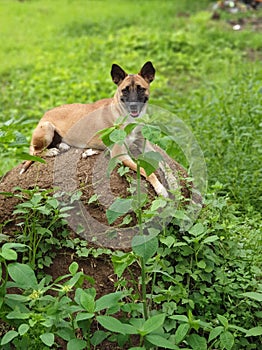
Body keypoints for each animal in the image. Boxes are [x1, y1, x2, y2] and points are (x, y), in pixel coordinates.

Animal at [20, 62, 168, 197]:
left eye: (140, 89)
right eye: (125, 90)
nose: (133, 106)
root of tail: (44, 115)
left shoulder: (143, 143)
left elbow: (163, 162)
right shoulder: (120, 154)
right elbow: (145, 170)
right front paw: (160, 188)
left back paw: (67, 146)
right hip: (47, 128)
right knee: (36, 152)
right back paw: (51, 152)